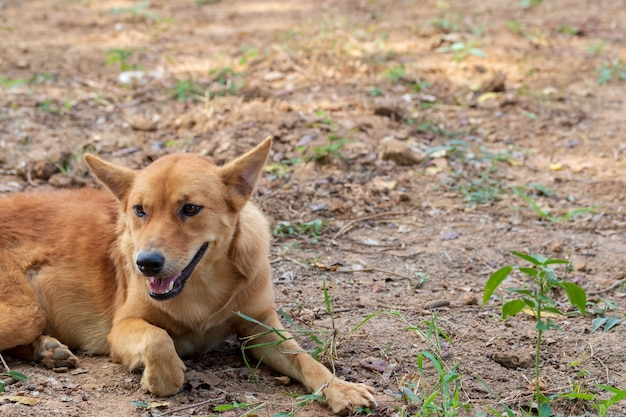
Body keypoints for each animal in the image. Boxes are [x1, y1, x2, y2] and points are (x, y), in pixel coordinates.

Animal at [0, 137, 376, 412]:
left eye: (191, 208)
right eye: (139, 210)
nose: (146, 263)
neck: (201, 288)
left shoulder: (261, 328)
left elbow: (306, 360)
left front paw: (341, 388)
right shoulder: (121, 327)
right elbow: (158, 339)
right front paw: (162, 376)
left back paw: (47, 350)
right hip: (27, 312)